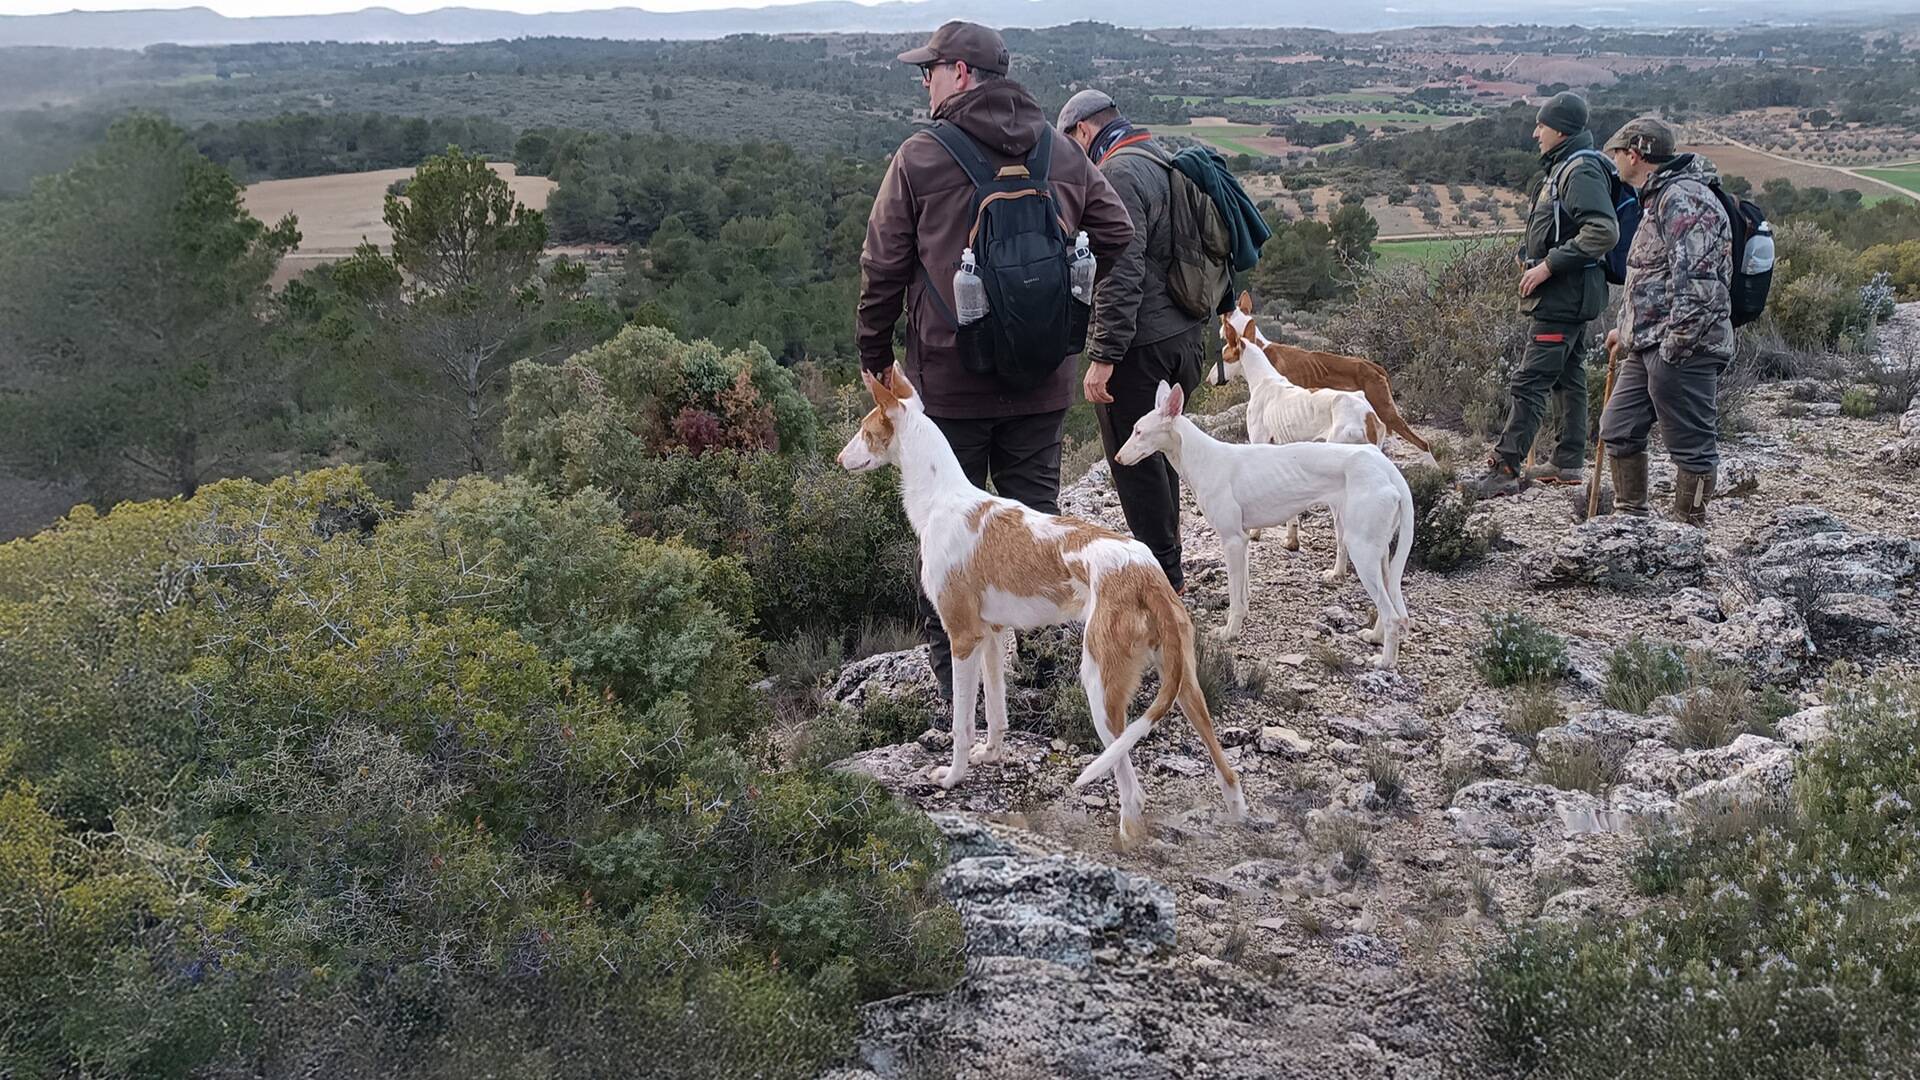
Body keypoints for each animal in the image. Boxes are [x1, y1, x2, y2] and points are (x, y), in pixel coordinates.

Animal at [840, 367, 1244, 841]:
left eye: (865, 430)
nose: (839, 459)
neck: (942, 498)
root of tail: (1146, 574)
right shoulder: (991, 636)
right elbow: (996, 711)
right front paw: (991, 754)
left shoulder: (962, 637)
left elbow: (961, 723)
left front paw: (953, 777)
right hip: (1184, 684)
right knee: (1226, 766)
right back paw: (1237, 815)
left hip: (1101, 687)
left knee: (1133, 791)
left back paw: (1126, 836)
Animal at [1113, 378, 1413, 664]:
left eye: (1138, 431)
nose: (1117, 457)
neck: (1202, 457)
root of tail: (1386, 467)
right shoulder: (1242, 540)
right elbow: (1242, 592)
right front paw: (1240, 620)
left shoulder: (1232, 541)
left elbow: (1234, 596)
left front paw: (1229, 632)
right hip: (1378, 552)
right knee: (1389, 604)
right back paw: (1375, 637)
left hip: (1361, 550)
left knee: (1391, 614)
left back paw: (1385, 661)